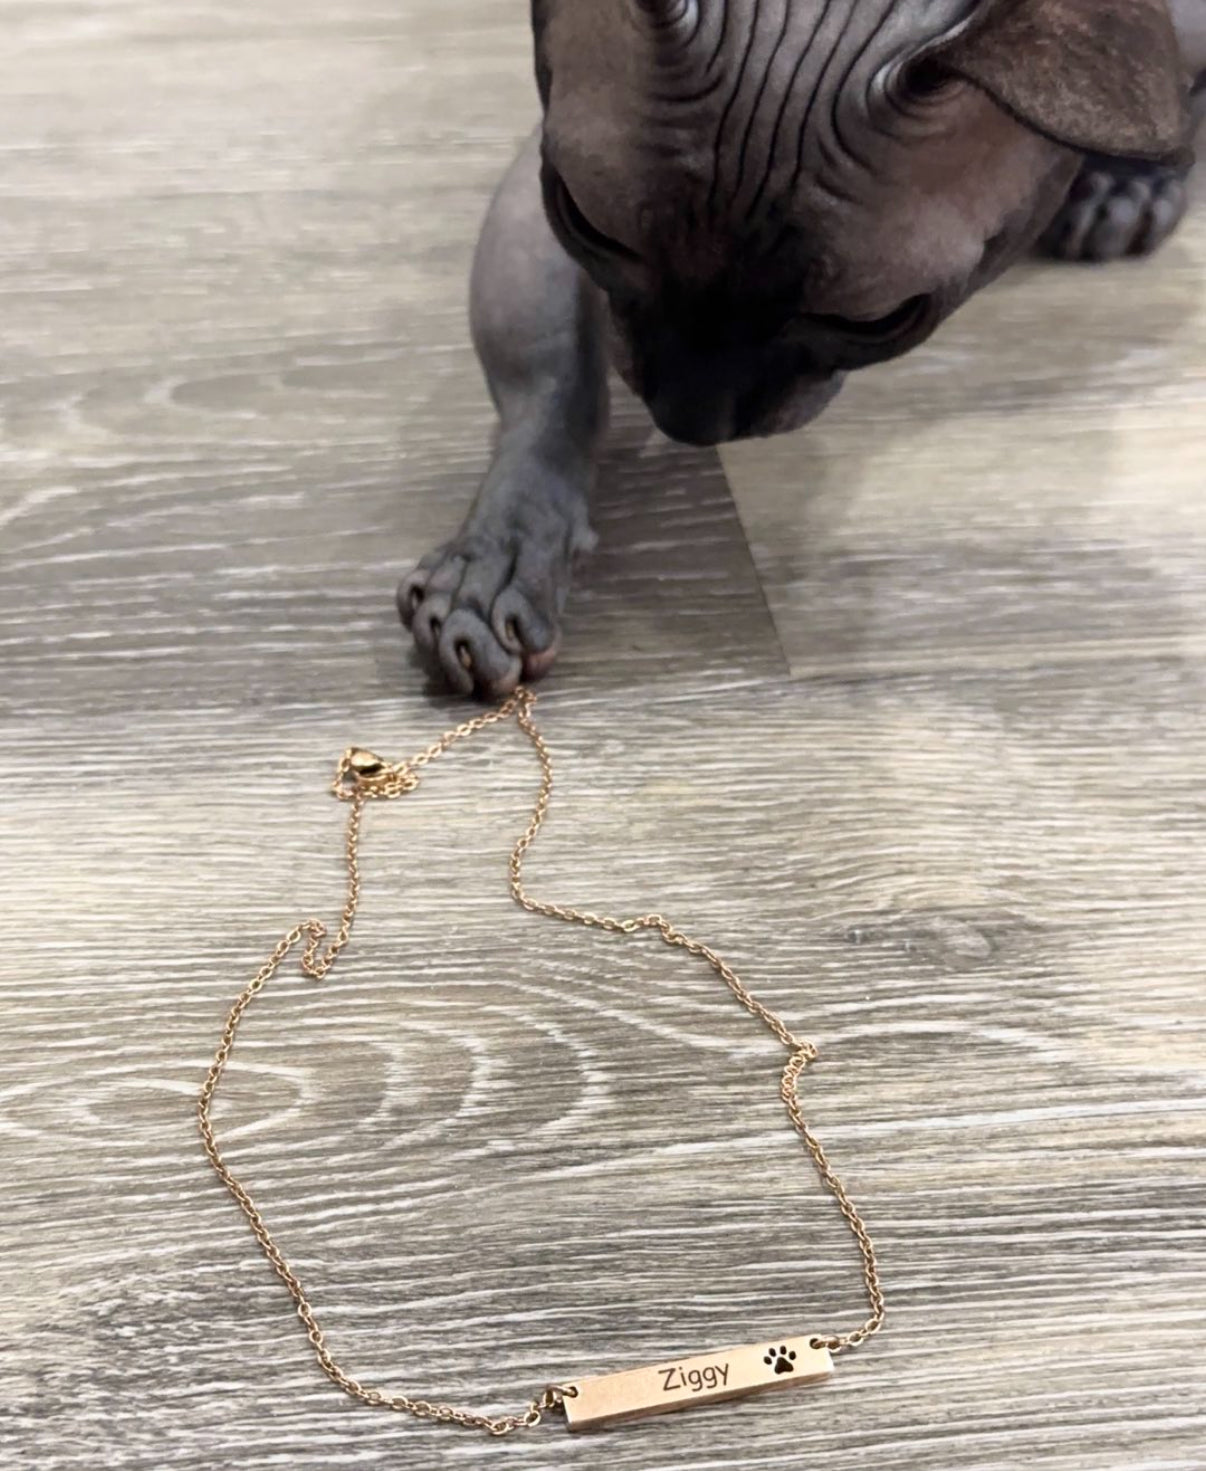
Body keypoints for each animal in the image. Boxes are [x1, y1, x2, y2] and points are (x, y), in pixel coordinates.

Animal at [397, 0, 1206, 697]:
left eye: (879, 321)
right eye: (585, 222)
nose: (688, 420)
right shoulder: (539, 187)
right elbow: (554, 391)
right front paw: (501, 555)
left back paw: (1128, 178)